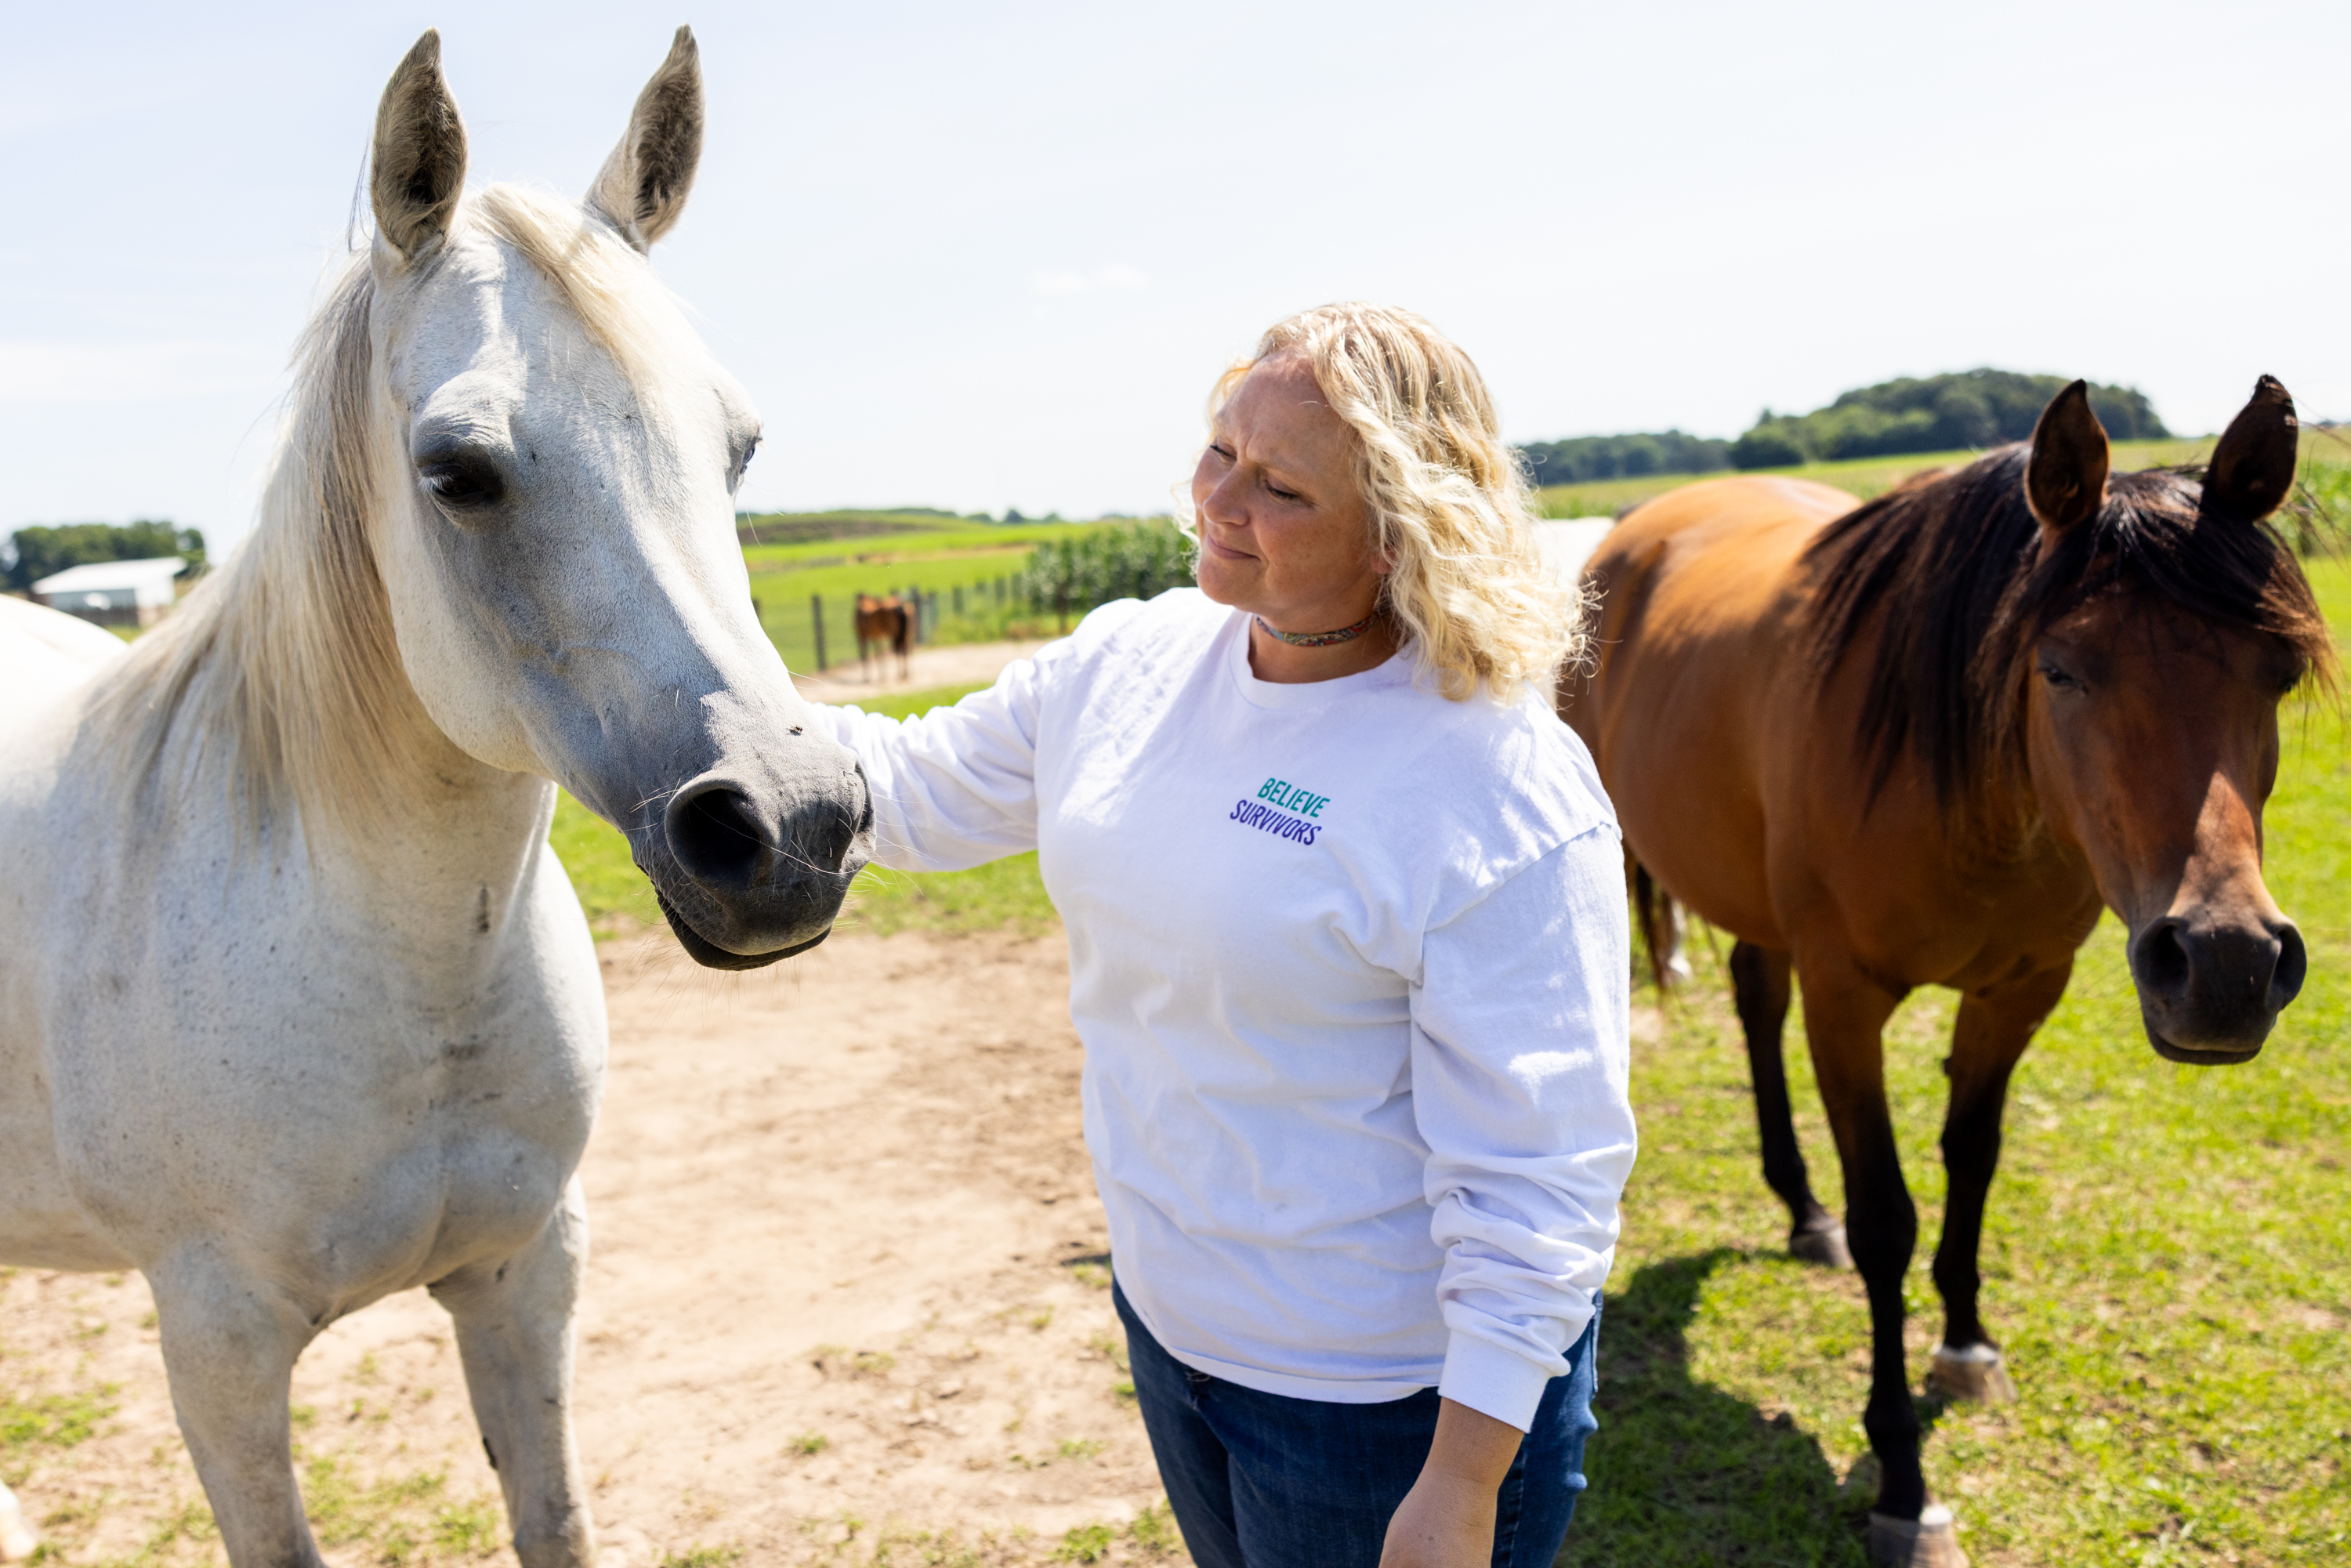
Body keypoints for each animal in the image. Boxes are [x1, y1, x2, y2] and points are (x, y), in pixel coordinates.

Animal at [0, 30, 872, 1568]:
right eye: (457, 472)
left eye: (741, 448)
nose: (789, 830)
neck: (395, 981)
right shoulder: (217, 1355)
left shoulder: (527, 1278)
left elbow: (554, 1518)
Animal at [1560, 378, 2327, 1567]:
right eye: (2058, 667)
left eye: (2276, 673)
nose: (2227, 962)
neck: (1968, 793)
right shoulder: (1846, 1001)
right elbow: (1889, 1219)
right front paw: (1905, 1486)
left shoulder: (2021, 989)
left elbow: (1974, 1159)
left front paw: (1965, 1346)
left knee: (1753, 994)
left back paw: (1801, 1211)